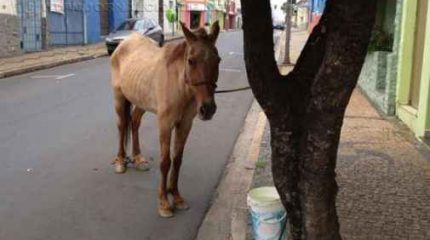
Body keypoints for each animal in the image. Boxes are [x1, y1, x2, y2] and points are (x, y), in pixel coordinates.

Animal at [111, 21, 220, 218]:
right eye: (191, 60)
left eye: (218, 60)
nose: (207, 109)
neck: (180, 85)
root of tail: (123, 43)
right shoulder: (165, 124)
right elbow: (165, 161)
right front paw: (163, 203)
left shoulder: (185, 124)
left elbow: (177, 159)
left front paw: (176, 197)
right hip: (119, 99)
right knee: (122, 126)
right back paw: (121, 162)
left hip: (141, 102)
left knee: (135, 123)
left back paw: (138, 159)